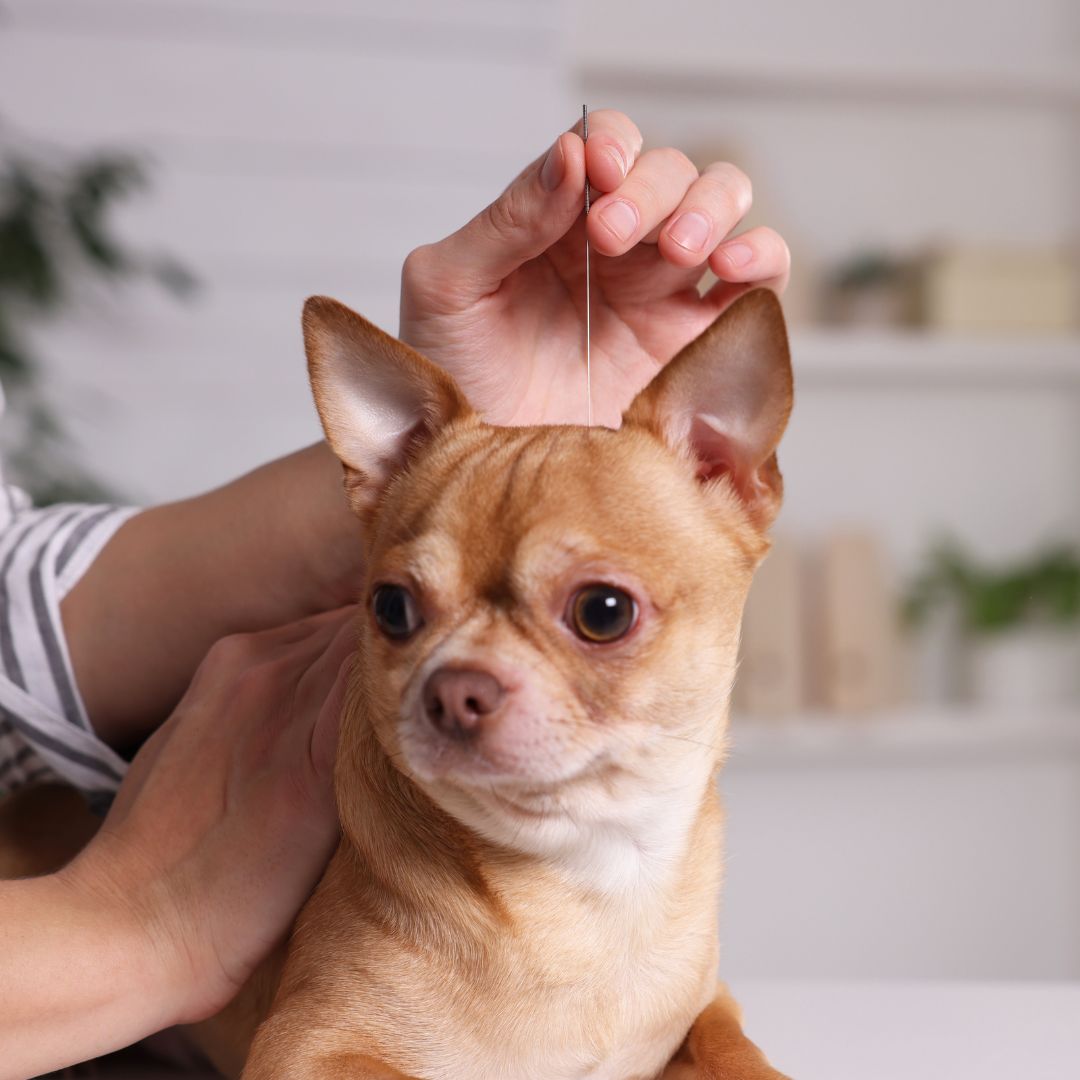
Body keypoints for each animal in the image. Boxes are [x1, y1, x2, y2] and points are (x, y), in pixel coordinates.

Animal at [236, 289, 794, 1080]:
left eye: (604, 612)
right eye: (390, 608)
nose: (453, 689)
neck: (586, 878)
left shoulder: (710, 1005)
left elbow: (734, 1050)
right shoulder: (305, 1046)